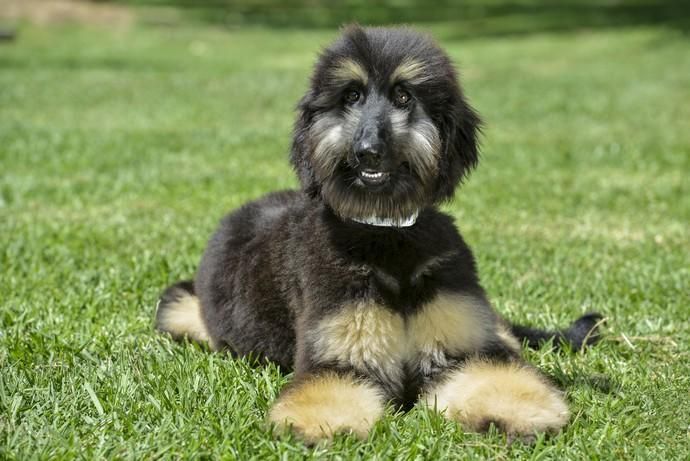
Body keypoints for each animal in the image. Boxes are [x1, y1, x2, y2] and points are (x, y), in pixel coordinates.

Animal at [153, 25, 600, 442]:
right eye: (351, 96)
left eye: (404, 96)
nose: (368, 152)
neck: (386, 235)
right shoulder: (340, 356)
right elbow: (328, 390)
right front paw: (319, 427)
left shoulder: (464, 348)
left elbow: (495, 373)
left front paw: (523, 411)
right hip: (178, 308)